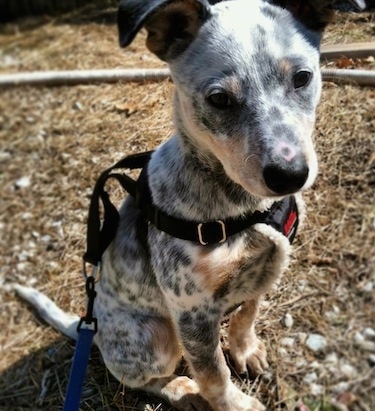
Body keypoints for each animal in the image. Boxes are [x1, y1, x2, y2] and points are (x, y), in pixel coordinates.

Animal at [12, 0, 352, 410]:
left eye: (302, 77)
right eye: (219, 98)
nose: (290, 175)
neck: (242, 208)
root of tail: (92, 331)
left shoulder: (266, 267)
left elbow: (247, 314)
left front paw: (245, 349)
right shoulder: (192, 312)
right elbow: (213, 374)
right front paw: (235, 403)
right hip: (154, 333)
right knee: (139, 377)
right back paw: (181, 391)